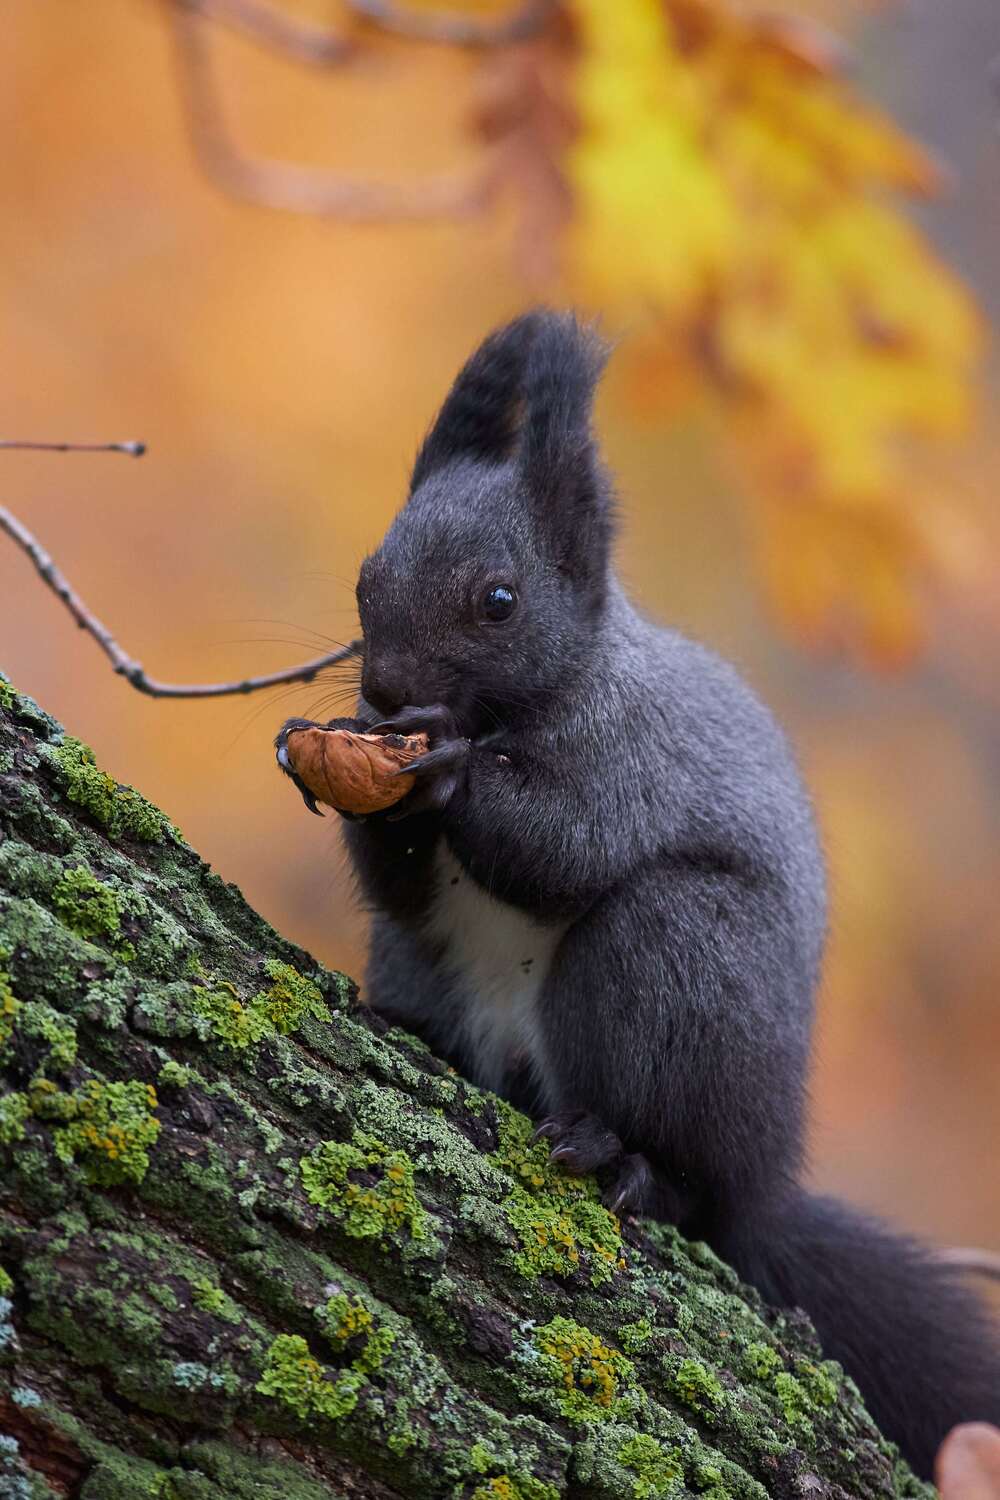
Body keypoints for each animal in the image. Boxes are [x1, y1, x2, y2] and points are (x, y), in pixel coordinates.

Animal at [285, 310, 1000, 1477]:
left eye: (499, 601)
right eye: (362, 577)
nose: (385, 692)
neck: (527, 708)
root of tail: (763, 1187)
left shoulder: (633, 764)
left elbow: (564, 847)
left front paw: (445, 776)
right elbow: (399, 882)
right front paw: (338, 764)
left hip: (678, 966)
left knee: (687, 1178)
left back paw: (628, 1164)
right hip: (432, 972)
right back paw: (409, 1029)